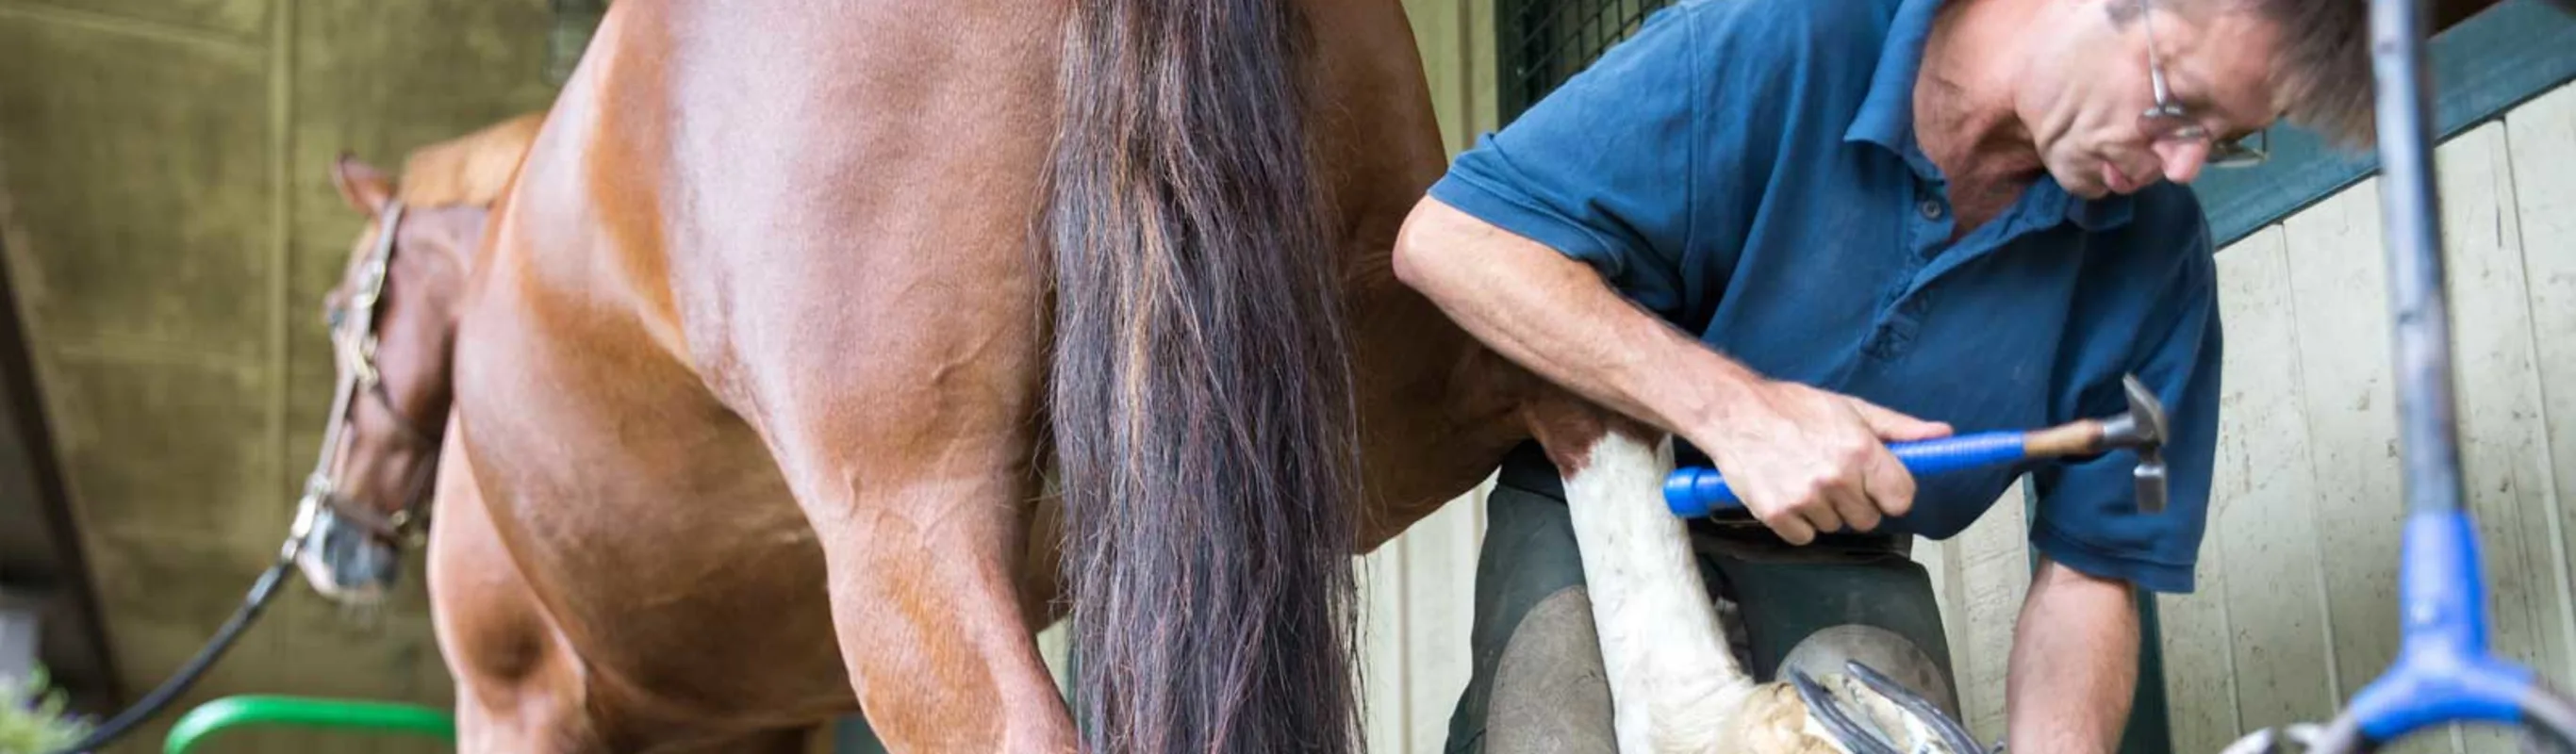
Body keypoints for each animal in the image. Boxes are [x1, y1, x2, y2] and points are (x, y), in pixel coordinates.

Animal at [296, 2, 1981, 751]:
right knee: (1581, 398)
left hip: (911, 555)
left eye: (339, 321)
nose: (327, 542)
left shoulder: (519, 702)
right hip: (1377, 380)